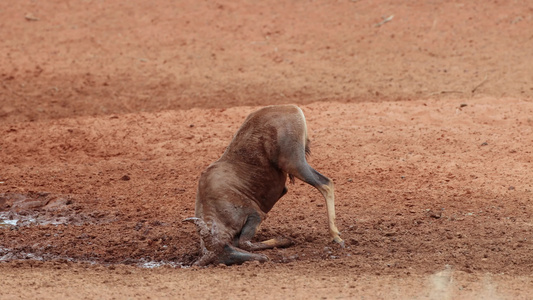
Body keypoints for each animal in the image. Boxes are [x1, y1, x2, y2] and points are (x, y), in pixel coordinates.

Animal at [185, 105, 342, 264]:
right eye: (224, 260)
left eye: (226, 247)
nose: (263, 259)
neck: (210, 195)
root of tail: (291, 108)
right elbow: (242, 242)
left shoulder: (256, 215)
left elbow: (244, 242)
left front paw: (285, 240)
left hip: (295, 163)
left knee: (326, 183)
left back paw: (336, 237)